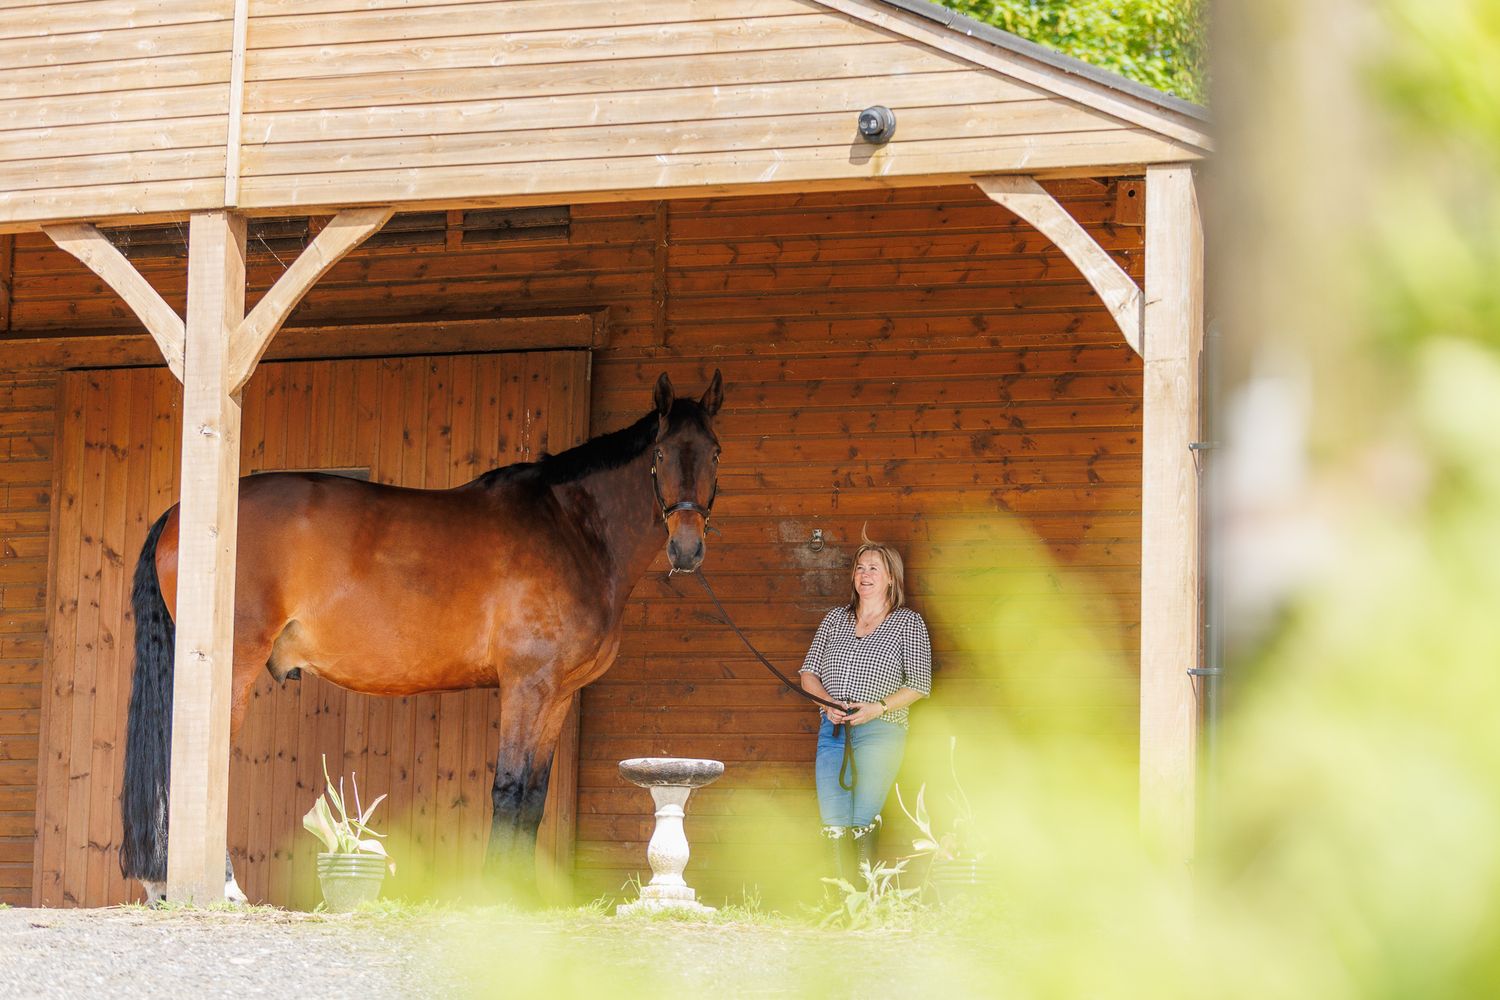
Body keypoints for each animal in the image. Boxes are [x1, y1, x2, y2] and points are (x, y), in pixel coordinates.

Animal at [120, 370, 724, 902]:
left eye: (714, 452)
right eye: (661, 453)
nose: (687, 549)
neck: (573, 530)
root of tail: (182, 515)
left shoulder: (557, 694)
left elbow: (533, 795)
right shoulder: (527, 685)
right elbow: (508, 789)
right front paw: (497, 895)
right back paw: (221, 888)